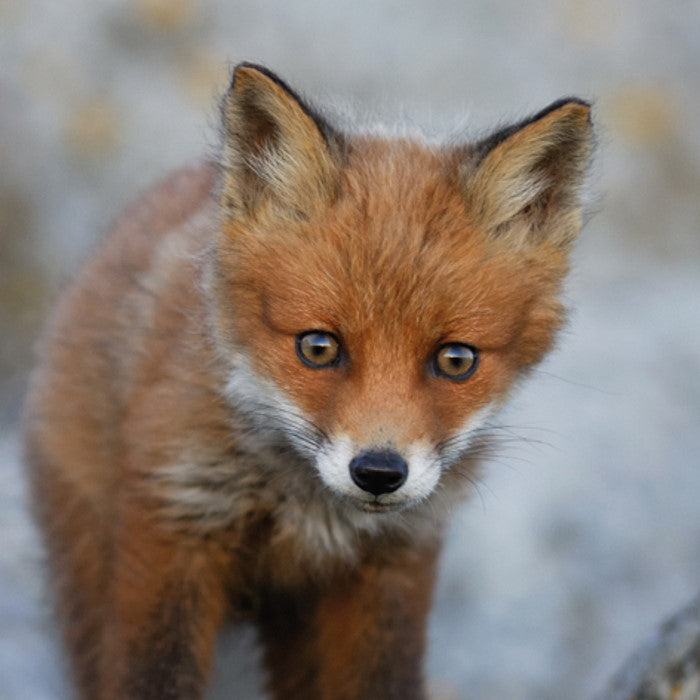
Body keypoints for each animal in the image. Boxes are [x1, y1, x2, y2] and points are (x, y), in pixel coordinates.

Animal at [23, 62, 593, 699]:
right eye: (319, 348)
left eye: (455, 360)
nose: (379, 473)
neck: (306, 512)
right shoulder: (174, 526)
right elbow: (155, 676)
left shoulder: (390, 568)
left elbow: (382, 682)